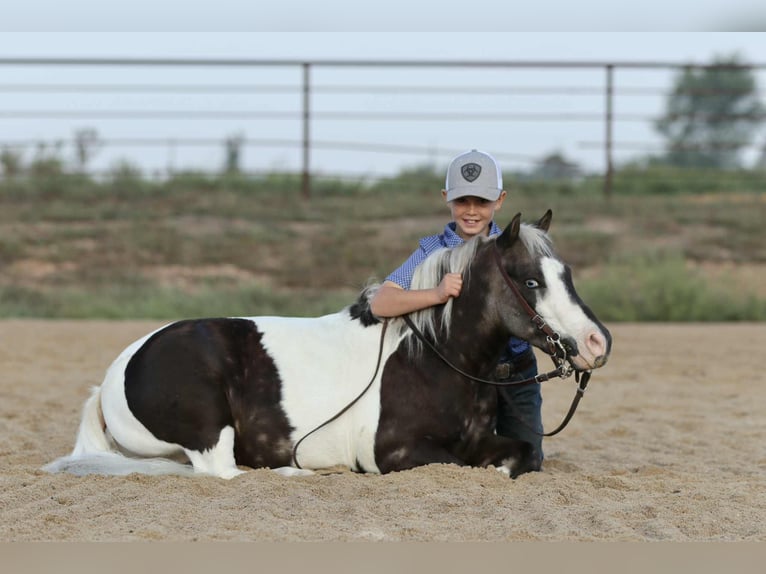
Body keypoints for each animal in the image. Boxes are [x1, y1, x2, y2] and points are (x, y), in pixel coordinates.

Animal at [44, 210, 611, 480]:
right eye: (530, 281)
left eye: (565, 273)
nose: (595, 342)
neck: (436, 359)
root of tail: (115, 375)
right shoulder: (396, 452)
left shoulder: (482, 442)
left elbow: (521, 457)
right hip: (209, 427)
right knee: (221, 472)